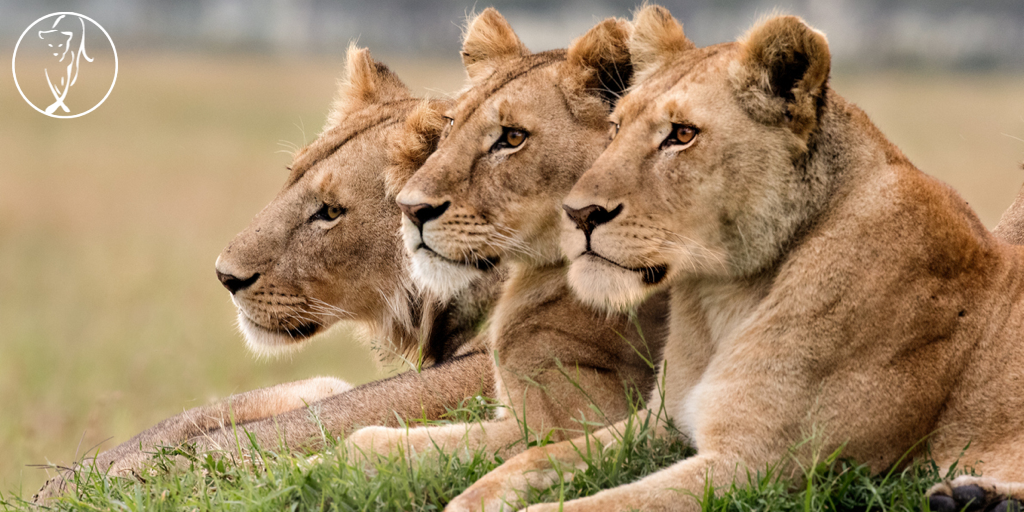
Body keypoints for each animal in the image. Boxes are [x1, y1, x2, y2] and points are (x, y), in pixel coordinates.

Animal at [448, 6, 1024, 512]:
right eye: (615, 128)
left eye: (682, 134)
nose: (579, 213)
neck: (723, 297)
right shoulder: (658, 422)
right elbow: (536, 458)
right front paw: (471, 498)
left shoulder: (762, 466)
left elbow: (608, 503)